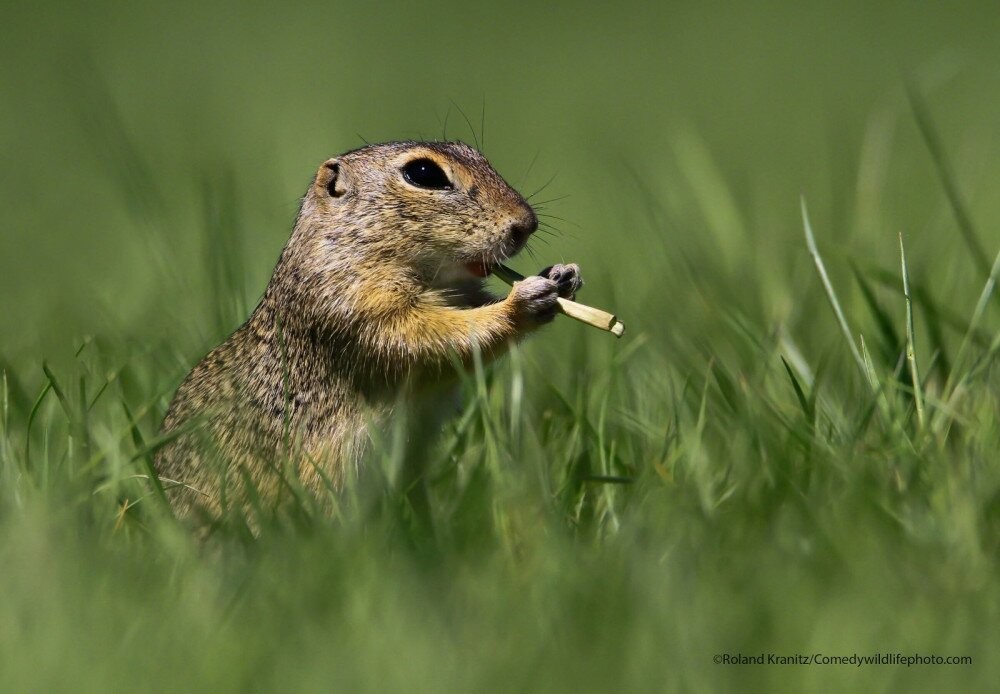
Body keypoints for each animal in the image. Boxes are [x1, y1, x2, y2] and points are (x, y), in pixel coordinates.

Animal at [153, 141, 584, 520]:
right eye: (424, 173)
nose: (526, 224)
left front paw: (562, 276)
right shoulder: (357, 308)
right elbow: (429, 338)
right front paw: (524, 301)